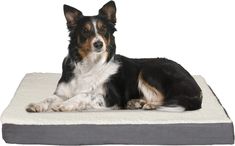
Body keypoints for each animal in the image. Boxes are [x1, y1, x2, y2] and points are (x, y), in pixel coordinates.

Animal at [25, 1, 202, 112]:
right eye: (85, 31)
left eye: (103, 30)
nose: (98, 44)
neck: (90, 65)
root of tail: (197, 89)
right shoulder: (62, 92)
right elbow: (49, 98)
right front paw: (37, 104)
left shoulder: (111, 97)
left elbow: (85, 94)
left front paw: (66, 105)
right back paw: (138, 102)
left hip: (149, 69)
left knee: (169, 99)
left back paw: (147, 105)